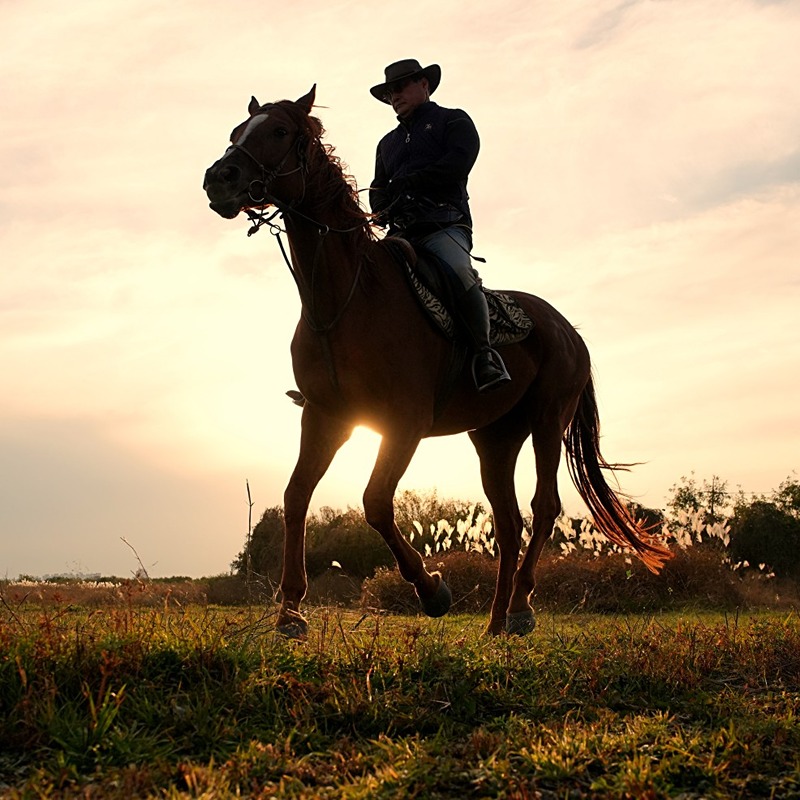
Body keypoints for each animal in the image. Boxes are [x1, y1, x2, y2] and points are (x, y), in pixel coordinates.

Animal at [203, 87, 672, 636]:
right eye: (237, 132)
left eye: (278, 131)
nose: (218, 178)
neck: (347, 299)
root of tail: (567, 330)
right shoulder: (325, 417)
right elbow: (296, 496)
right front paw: (291, 611)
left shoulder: (402, 422)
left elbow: (375, 503)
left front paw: (432, 590)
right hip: (495, 437)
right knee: (508, 522)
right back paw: (495, 622)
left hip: (547, 420)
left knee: (544, 507)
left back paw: (520, 608)